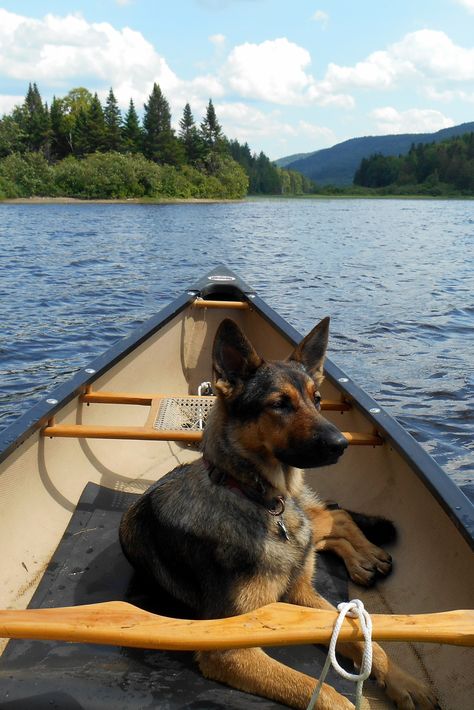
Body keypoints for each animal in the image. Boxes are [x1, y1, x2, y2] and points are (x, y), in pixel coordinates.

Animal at [120, 318, 438, 710]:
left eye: (317, 400)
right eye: (279, 404)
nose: (342, 445)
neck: (262, 503)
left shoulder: (303, 597)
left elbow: (364, 640)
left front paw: (404, 680)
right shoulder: (226, 648)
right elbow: (319, 689)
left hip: (308, 526)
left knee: (334, 519)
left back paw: (368, 556)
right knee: (331, 525)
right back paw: (363, 561)